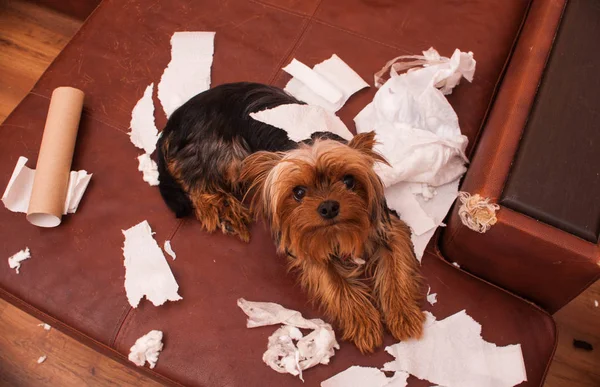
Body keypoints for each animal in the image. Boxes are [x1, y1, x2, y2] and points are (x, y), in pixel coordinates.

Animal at [157, 82, 424, 354]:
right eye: (298, 192)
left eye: (349, 181)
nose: (328, 207)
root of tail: (175, 121)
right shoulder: (304, 241)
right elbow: (333, 282)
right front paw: (362, 321)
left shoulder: (386, 227)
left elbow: (396, 269)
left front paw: (403, 316)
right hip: (226, 154)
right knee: (196, 181)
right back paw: (222, 211)